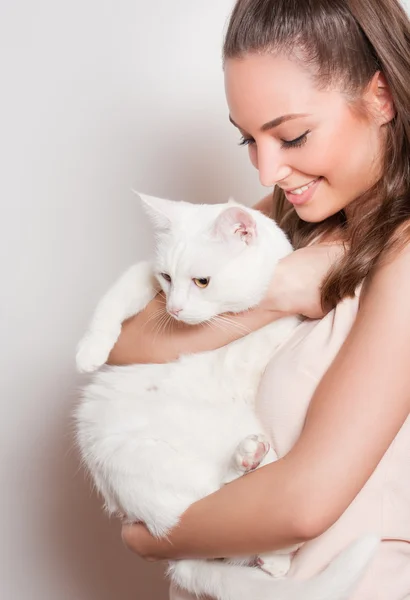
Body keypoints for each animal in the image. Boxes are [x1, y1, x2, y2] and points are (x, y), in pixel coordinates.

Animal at [76, 195, 378, 600]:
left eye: (202, 281)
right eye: (167, 277)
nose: (173, 309)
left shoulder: (271, 332)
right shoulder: (142, 275)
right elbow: (116, 297)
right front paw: (91, 350)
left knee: (226, 504)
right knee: (211, 501)